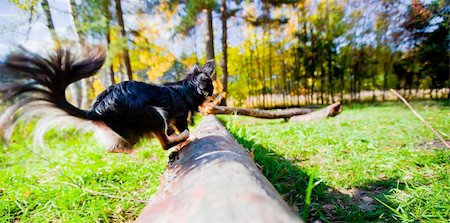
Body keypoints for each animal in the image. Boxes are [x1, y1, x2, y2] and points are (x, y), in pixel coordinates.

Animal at [0, 47, 214, 153]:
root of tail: (95, 110)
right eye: (211, 86)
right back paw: (181, 137)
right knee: (161, 143)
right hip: (153, 114)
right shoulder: (178, 116)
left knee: (117, 148)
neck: (184, 88)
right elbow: (181, 127)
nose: (213, 93)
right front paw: (185, 136)